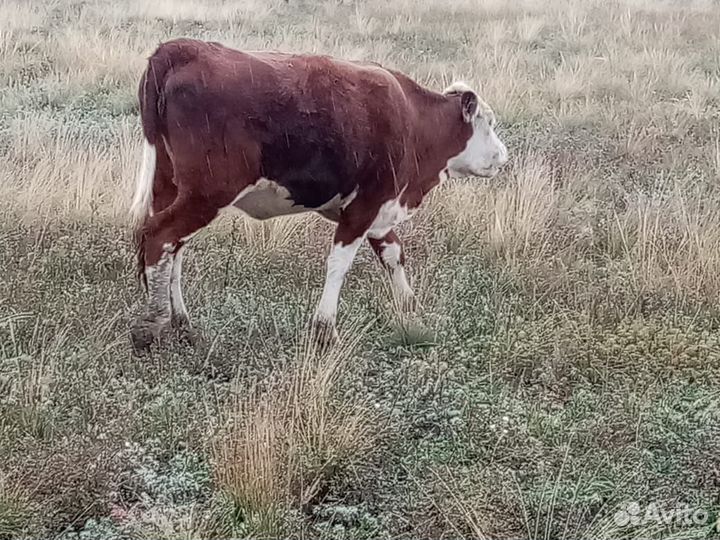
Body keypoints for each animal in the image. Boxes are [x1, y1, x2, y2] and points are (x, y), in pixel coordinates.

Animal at [129, 38, 508, 353]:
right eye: (488, 122)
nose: (504, 156)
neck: (413, 120)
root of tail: (180, 48)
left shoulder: (377, 209)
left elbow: (393, 254)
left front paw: (409, 306)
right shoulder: (366, 204)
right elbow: (339, 264)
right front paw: (325, 329)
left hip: (172, 186)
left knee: (172, 249)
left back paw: (182, 322)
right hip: (207, 192)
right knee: (161, 237)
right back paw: (152, 326)